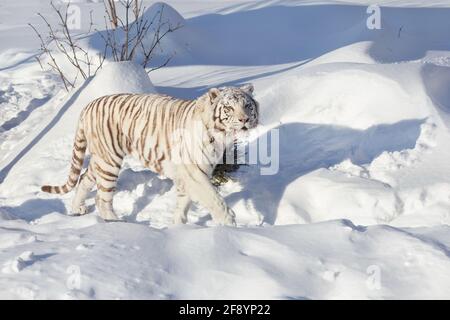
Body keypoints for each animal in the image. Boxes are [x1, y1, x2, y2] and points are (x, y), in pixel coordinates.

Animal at [43, 84, 260, 225]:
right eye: (229, 108)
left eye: (247, 105)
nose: (244, 120)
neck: (221, 134)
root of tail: (87, 107)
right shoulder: (194, 172)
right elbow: (213, 198)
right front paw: (229, 223)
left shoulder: (189, 174)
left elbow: (183, 202)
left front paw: (178, 226)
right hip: (109, 160)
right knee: (102, 198)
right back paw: (116, 223)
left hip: (100, 159)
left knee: (83, 178)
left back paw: (77, 209)